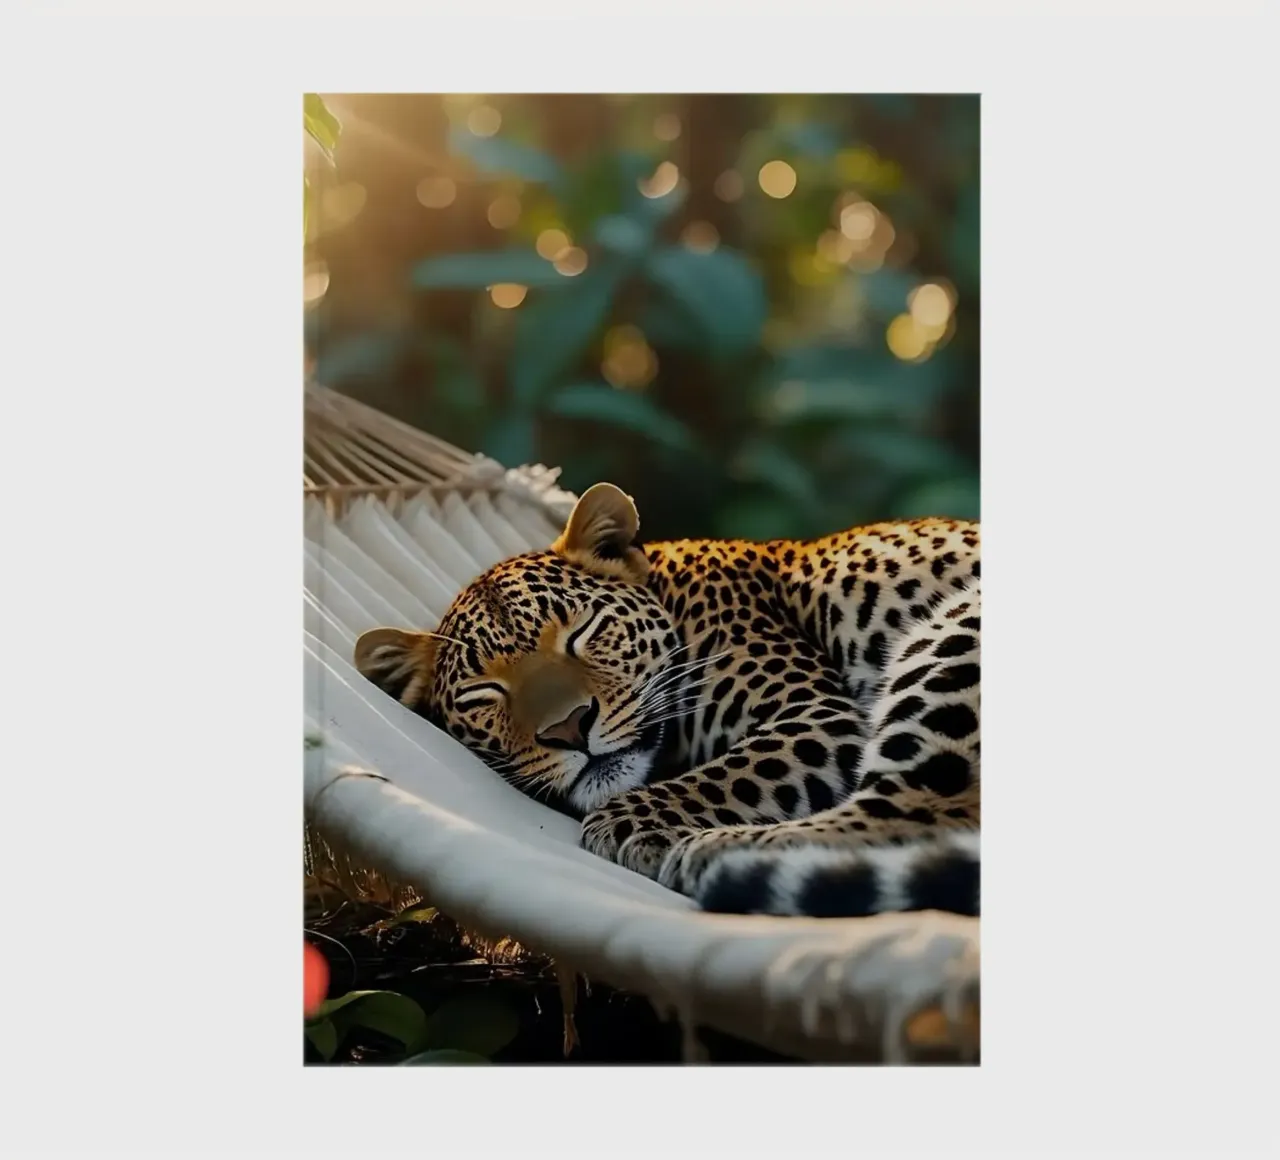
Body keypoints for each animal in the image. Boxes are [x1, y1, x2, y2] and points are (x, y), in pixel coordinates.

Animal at [354, 482, 980, 919]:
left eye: (582, 631)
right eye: (485, 692)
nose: (569, 727)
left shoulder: (813, 714)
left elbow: (716, 779)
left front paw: (630, 829)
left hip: (957, 632)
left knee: (922, 808)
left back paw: (715, 856)